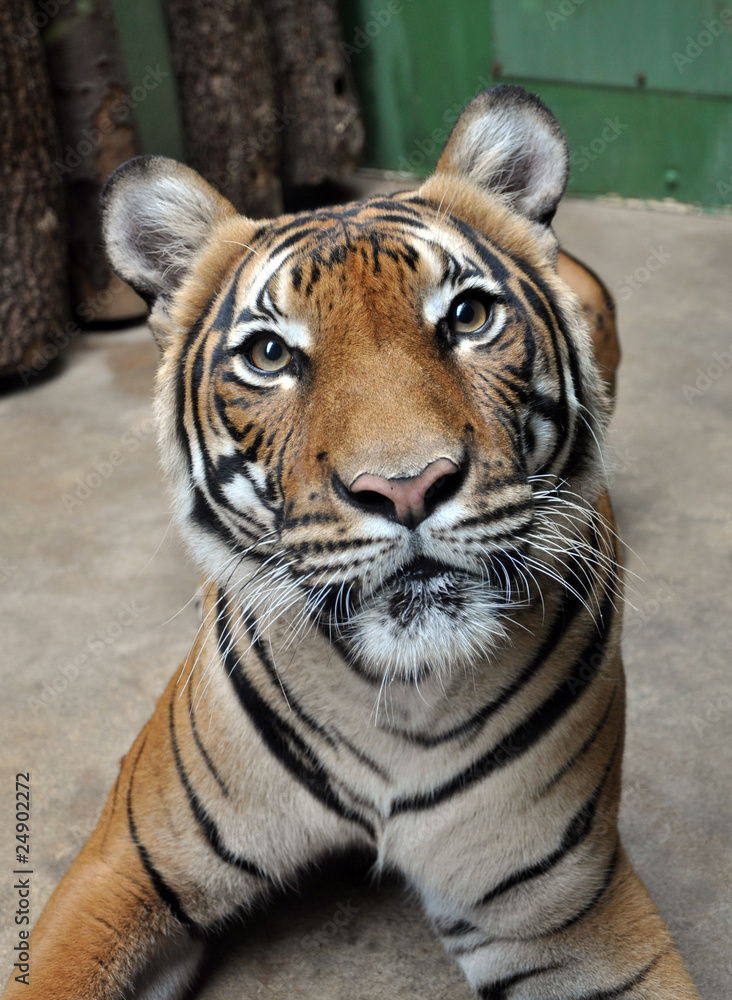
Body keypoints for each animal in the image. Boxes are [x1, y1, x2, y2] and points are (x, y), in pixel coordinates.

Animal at [2, 85, 700, 1000]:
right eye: (269, 354)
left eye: (469, 316)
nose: (406, 487)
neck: (397, 695)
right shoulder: (126, 865)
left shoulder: (563, 913)